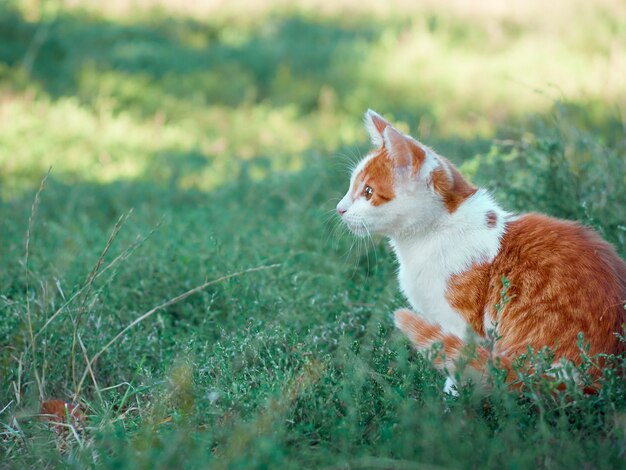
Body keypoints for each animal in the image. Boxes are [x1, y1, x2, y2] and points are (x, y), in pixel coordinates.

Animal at [336, 110, 624, 392]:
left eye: (368, 192)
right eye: (350, 187)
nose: (340, 209)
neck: (432, 235)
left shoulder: (461, 325)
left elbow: (459, 360)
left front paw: (452, 398)